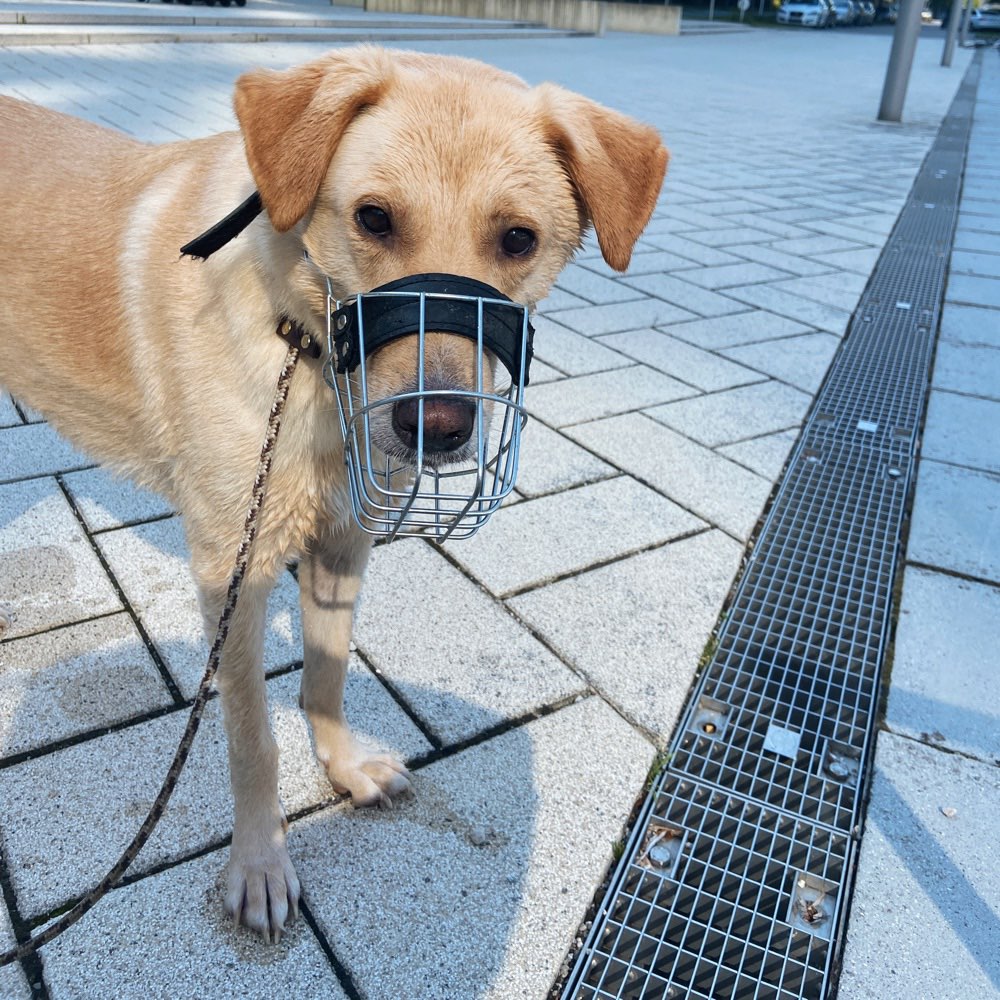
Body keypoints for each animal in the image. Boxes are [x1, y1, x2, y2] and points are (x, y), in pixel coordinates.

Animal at [1, 45, 672, 936]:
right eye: (375, 219)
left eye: (519, 238)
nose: (438, 428)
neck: (307, 352)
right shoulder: (233, 572)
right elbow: (252, 739)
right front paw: (258, 862)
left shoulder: (342, 545)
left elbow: (326, 674)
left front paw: (342, 765)